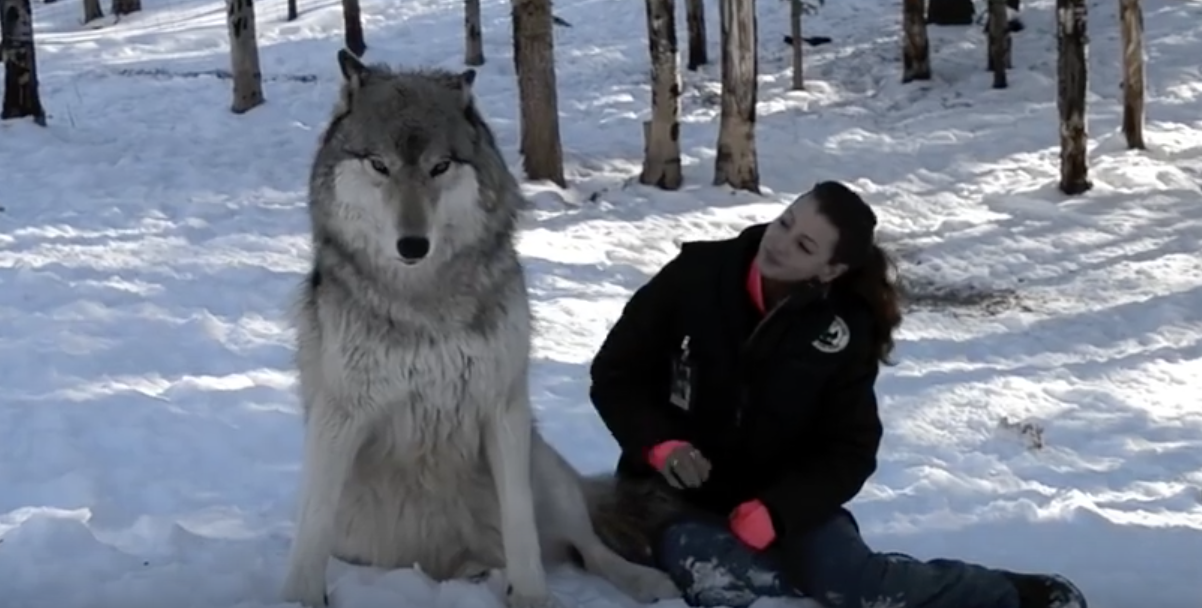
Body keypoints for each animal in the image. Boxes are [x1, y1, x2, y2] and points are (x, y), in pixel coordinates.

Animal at [275, 49, 682, 608]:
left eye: (440, 166)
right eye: (379, 165)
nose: (412, 245)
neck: (424, 302)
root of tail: (448, 562)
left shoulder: (503, 408)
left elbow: (521, 527)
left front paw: (530, 598)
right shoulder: (339, 417)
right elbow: (309, 534)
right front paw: (300, 597)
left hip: (543, 464)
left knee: (588, 546)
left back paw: (645, 582)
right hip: (358, 531)